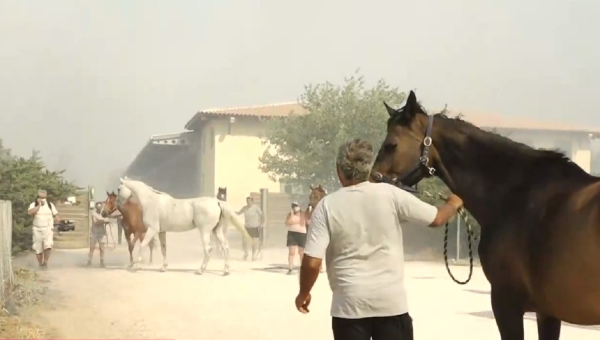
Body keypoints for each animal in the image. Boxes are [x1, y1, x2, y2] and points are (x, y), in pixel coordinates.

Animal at [117, 177, 251, 274]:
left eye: (118, 189)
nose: (118, 205)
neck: (151, 201)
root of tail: (217, 202)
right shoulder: (161, 232)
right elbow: (163, 249)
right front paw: (163, 267)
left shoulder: (152, 230)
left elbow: (142, 245)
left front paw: (136, 265)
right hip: (216, 230)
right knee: (225, 247)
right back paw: (226, 270)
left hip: (205, 231)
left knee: (208, 249)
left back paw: (200, 270)